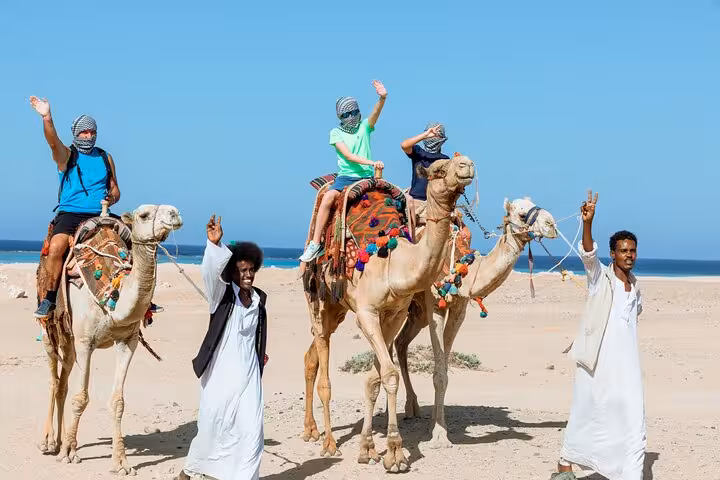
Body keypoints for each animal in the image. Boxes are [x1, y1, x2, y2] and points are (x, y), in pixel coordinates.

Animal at [36, 204, 182, 475]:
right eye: (144, 215)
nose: (174, 213)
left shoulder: (127, 341)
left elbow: (118, 402)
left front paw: (121, 463)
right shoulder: (86, 342)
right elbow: (81, 398)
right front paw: (70, 453)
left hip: (69, 340)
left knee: (63, 381)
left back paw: (59, 440)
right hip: (50, 331)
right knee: (54, 379)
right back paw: (48, 442)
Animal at [301, 155, 475, 472]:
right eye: (438, 170)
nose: (466, 164)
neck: (393, 262)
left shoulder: (394, 313)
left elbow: (377, 377)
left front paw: (369, 448)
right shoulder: (367, 313)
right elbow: (389, 374)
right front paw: (394, 452)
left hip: (337, 307)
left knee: (311, 356)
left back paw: (310, 430)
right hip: (317, 296)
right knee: (322, 360)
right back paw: (329, 442)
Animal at [394, 197, 558, 447]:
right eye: (521, 215)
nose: (552, 225)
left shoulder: (459, 308)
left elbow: (444, 370)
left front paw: (436, 425)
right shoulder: (435, 302)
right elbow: (439, 374)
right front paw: (439, 435)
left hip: (416, 313)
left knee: (400, 343)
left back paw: (412, 407)